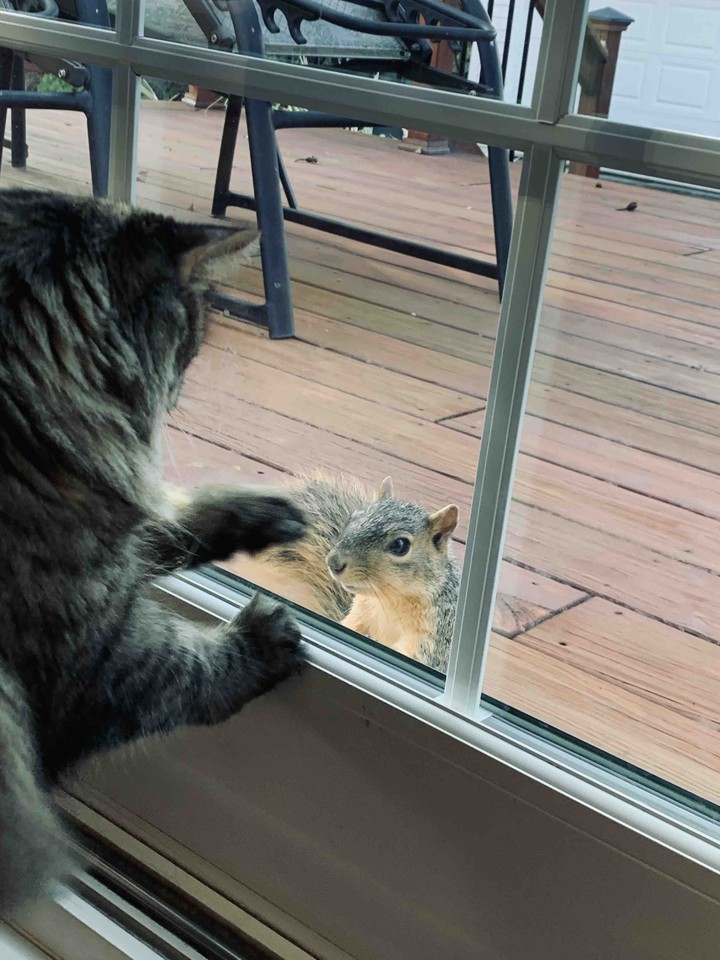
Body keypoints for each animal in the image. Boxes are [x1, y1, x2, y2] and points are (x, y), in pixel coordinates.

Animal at [167, 474, 460, 672]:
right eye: (355, 518)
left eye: (400, 545)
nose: (334, 562)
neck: (388, 603)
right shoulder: (361, 614)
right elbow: (350, 627)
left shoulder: (434, 639)